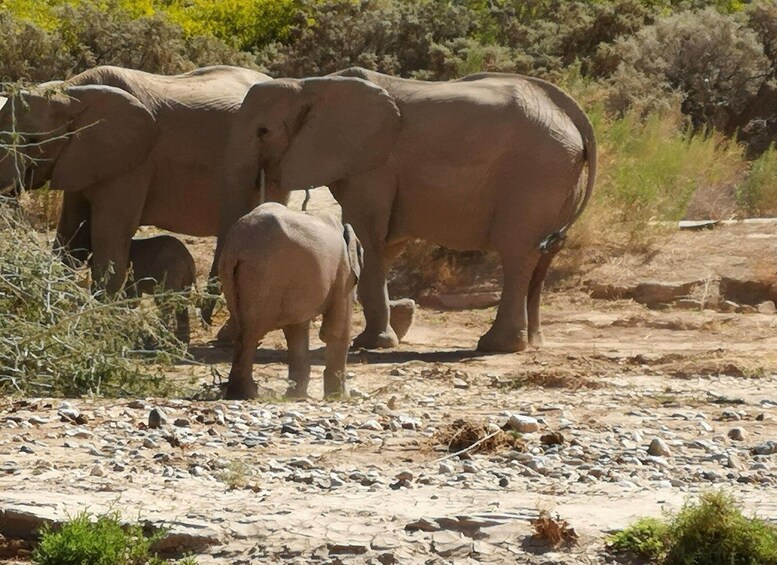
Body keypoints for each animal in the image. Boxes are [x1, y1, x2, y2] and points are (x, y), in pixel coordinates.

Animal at [0, 64, 270, 300]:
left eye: (33, 140)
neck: (71, 90)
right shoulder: (83, 158)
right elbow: (71, 232)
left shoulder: (134, 164)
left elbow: (108, 235)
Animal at [218, 67, 596, 352]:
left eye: (263, 131)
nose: (225, 339)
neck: (309, 84)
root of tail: (573, 115)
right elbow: (386, 245)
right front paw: (381, 335)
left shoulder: (373, 164)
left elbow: (368, 235)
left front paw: (372, 344)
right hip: (559, 177)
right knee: (544, 255)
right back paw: (534, 343)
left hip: (536, 174)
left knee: (518, 253)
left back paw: (496, 346)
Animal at [218, 200, 364, 398]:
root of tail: (236, 245)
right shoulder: (343, 272)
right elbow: (335, 330)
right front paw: (340, 398)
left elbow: (296, 330)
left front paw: (296, 397)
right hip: (265, 274)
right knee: (252, 332)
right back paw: (250, 394)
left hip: (231, 273)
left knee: (243, 328)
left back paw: (242, 394)